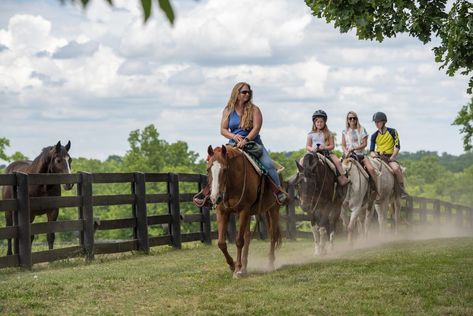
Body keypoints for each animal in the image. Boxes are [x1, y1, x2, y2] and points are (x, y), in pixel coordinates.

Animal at [206, 144, 280, 278]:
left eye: (225, 169)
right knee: (248, 235)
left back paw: (270, 263)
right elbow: (221, 243)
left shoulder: (243, 210)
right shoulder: (222, 212)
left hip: (273, 209)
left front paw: (237, 269)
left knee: (272, 234)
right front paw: (233, 265)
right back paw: (245, 267)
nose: (215, 198)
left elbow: (239, 241)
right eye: (208, 170)